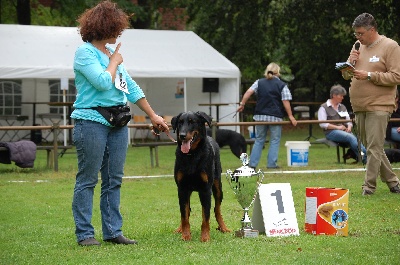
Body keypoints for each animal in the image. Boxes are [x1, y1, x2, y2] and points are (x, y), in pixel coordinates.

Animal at [170, 110, 230, 240]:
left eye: (192, 122)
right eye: (180, 122)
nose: (182, 135)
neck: (192, 154)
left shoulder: (205, 189)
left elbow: (205, 216)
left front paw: (205, 237)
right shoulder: (182, 188)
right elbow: (184, 215)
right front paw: (185, 235)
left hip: (217, 186)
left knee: (217, 209)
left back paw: (223, 227)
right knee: (187, 211)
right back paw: (180, 229)